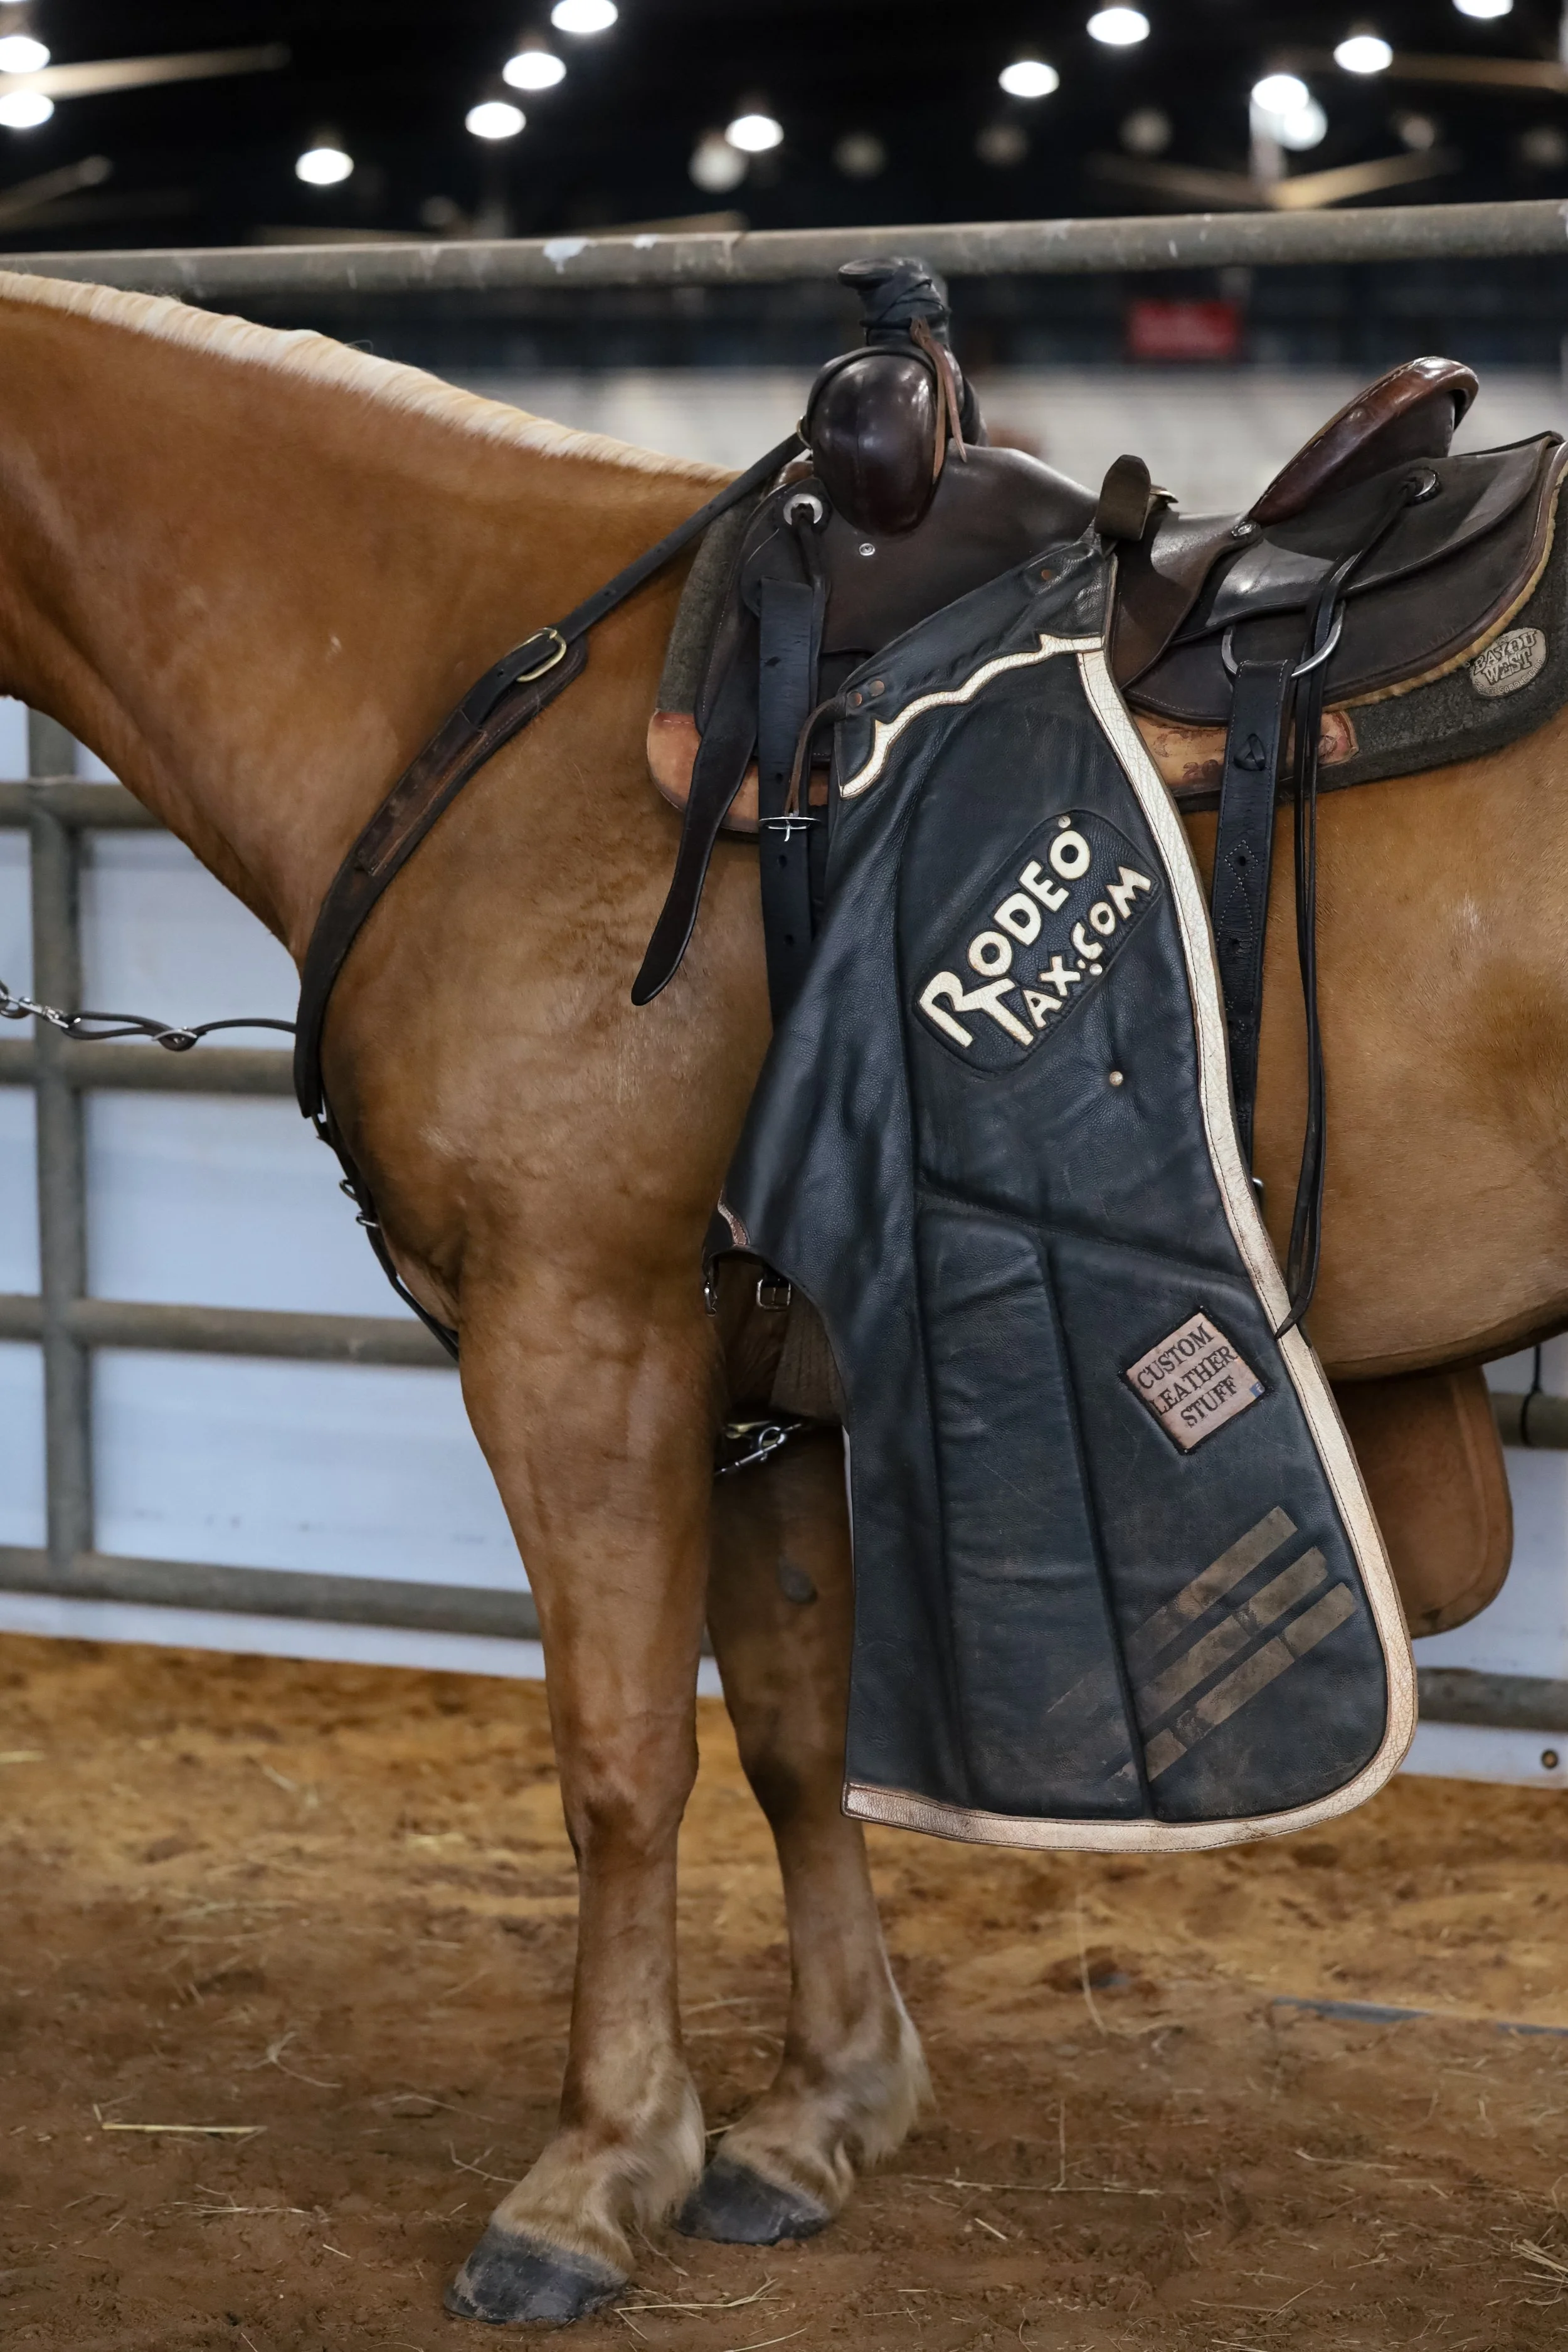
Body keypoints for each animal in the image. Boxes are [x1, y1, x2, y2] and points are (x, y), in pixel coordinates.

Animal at [0, 267, 1560, 2326]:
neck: (473, 701)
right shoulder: (764, 1381)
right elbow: (793, 1738)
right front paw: (820, 2111)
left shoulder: (584, 1340)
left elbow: (619, 1756)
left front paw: (592, 2170)